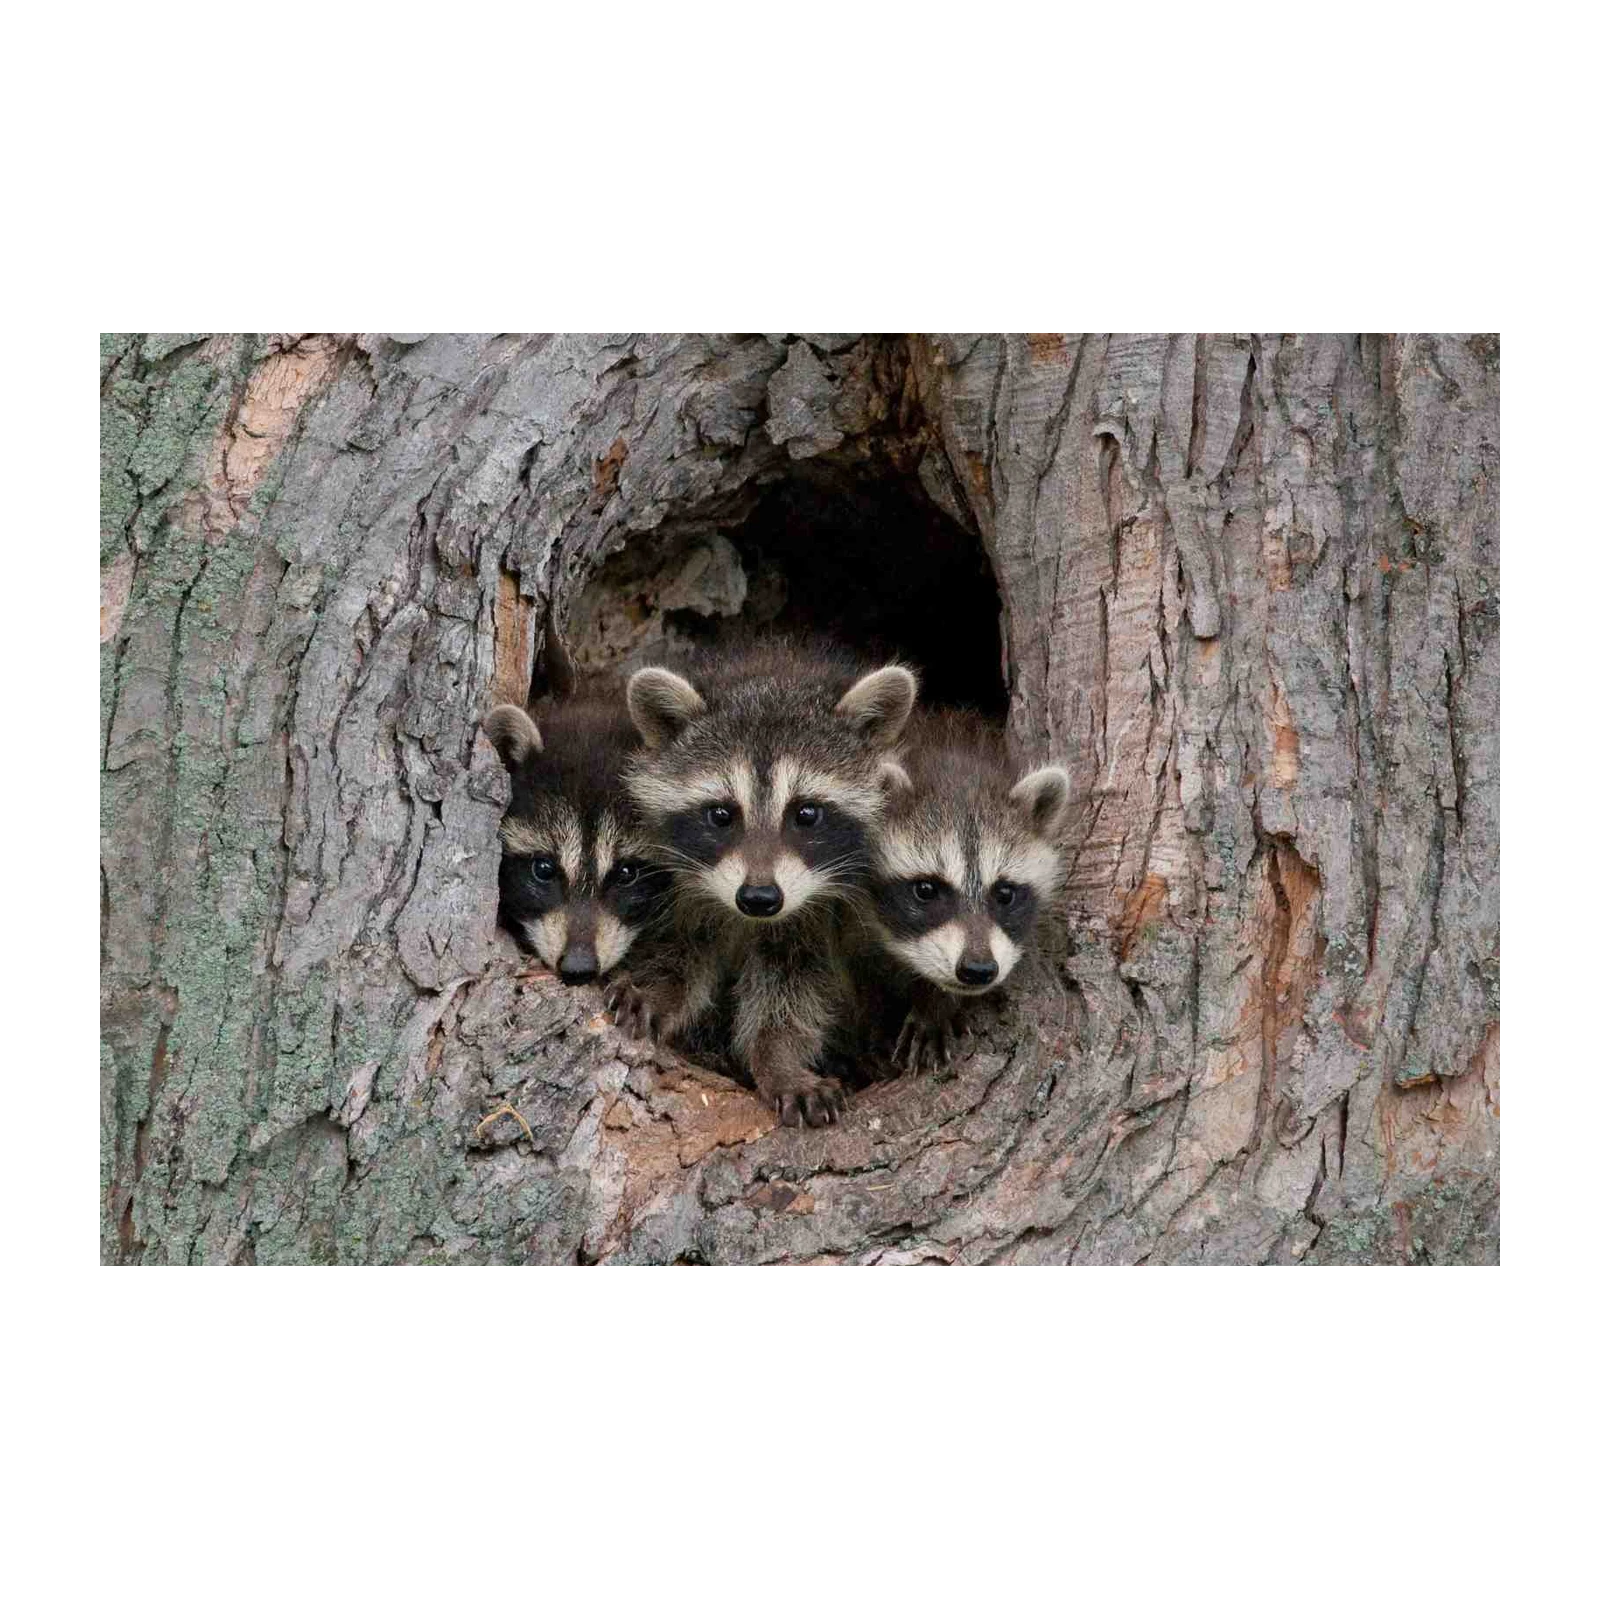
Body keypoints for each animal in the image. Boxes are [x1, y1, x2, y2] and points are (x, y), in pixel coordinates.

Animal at [610, 639, 918, 1127]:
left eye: (806, 813)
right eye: (721, 814)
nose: (758, 898)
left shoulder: (816, 915)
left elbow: (793, 990)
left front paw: (779, 1061)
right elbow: (679, 949)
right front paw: (656, 988)